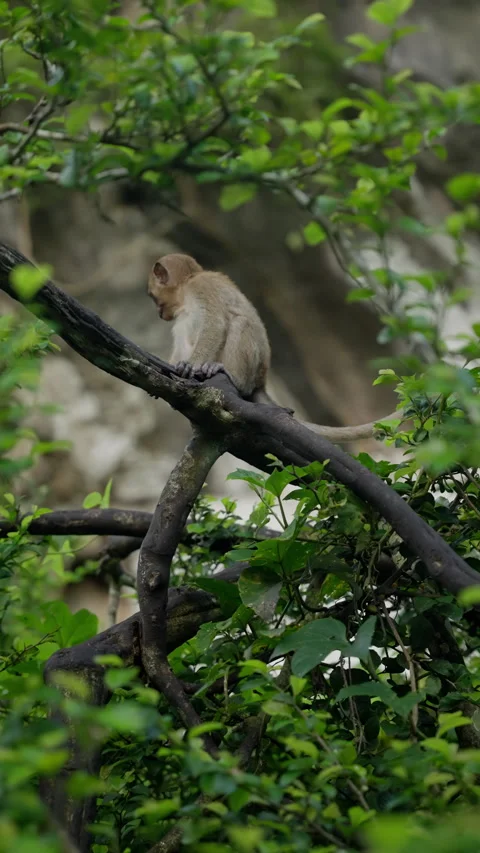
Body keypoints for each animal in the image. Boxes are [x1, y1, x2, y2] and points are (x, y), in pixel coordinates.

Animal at [148, 253, 403, 443]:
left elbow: (215, 325)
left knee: (239, 322)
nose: (159, 313)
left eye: (152, 296)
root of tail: (261, 381)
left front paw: (190, 366)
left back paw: (230, 375)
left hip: (251, 367)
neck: (187, 286)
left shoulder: (202, 287)